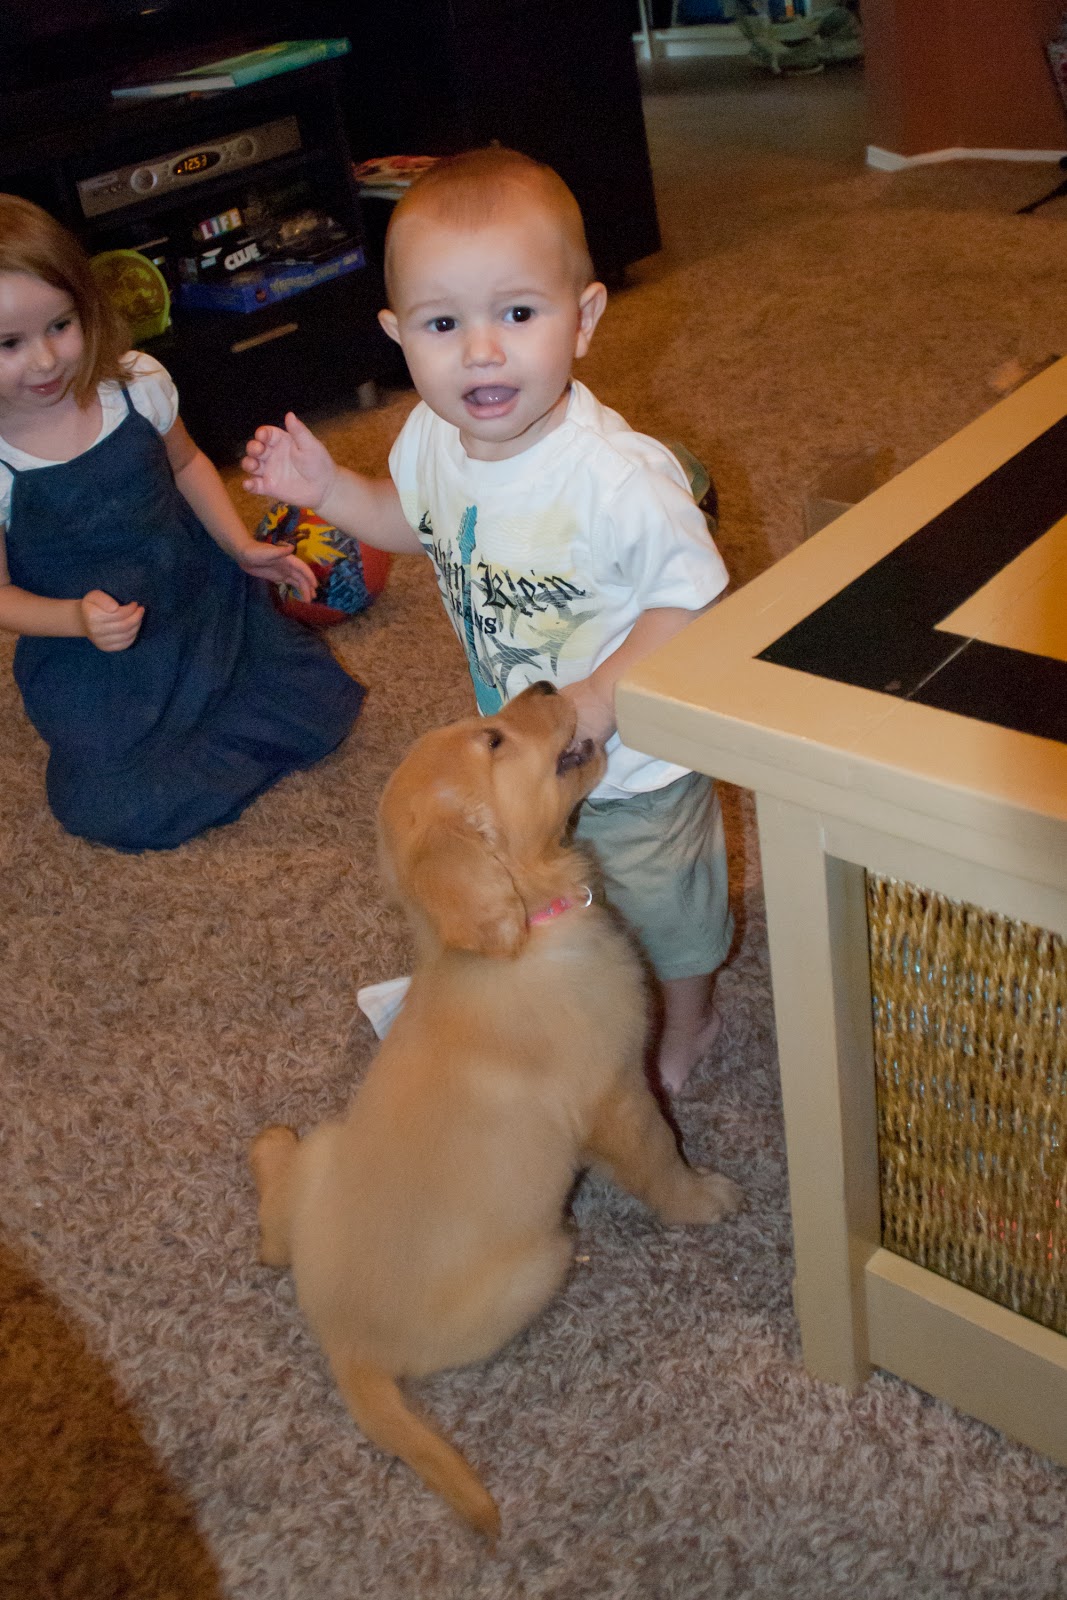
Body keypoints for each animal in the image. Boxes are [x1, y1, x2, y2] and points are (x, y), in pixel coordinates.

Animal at [250, 683, 742, 1540]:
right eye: (493, 741)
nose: (547, 689)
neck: (521, 939)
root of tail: (344, 1345)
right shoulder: (619, 1094)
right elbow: (660, 1161)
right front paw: (702, 1199)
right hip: (539, 1257)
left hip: (328, 1151)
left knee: (274, 1236)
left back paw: (271, 1147)